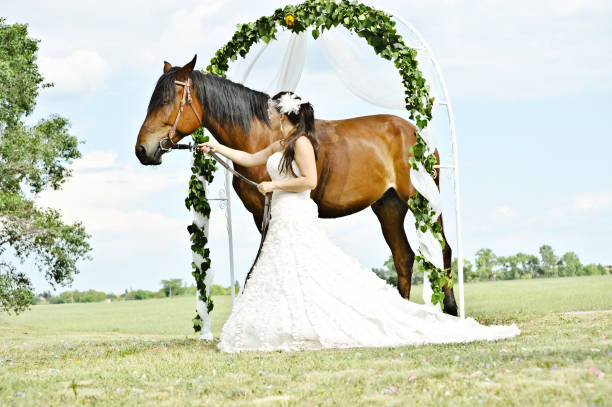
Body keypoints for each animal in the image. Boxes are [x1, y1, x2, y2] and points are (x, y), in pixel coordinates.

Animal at [135, 55, 460, 316]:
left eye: (166, 100)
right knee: (403, 257)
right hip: (388, 207)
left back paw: (450, 309)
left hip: (422, 202)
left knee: (443, 249)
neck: (262, 134)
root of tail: (416, 132)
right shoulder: (260, 213)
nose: (142, 150)